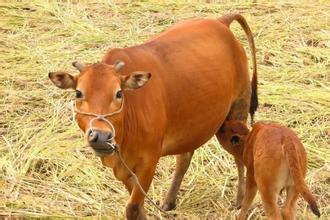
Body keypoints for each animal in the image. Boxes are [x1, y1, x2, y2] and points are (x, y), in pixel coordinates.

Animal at [48, 13, 258, 218]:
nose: (100, 136)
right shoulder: (125, 169)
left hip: (238, 110)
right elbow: (138, 206)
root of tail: (221, 21)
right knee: (184, 158)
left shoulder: (149, 161)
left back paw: (240, 200)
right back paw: (169, 201)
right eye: (78, 93)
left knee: (239, 156)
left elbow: (133, 207)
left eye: (119, 93)